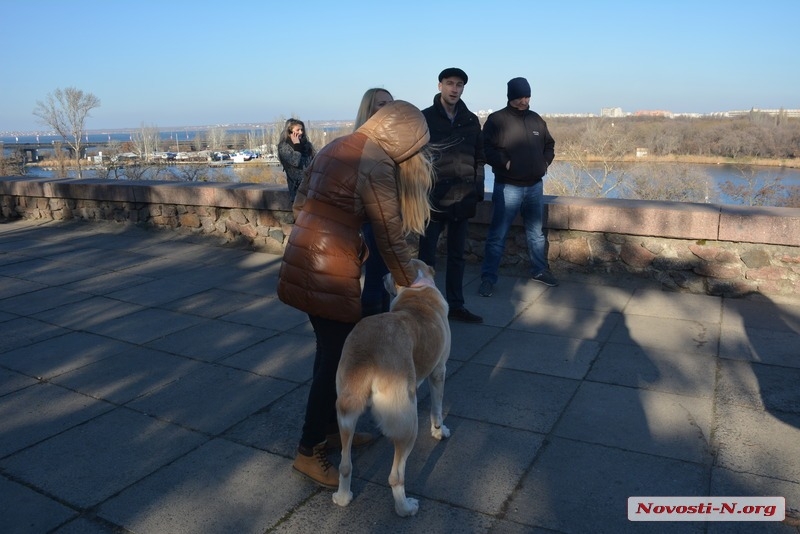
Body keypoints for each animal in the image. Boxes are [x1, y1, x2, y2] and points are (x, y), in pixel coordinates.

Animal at [332, 260, 454, 520]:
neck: (417, 288)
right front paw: (439, 431)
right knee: (395, 476)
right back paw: (406, 508)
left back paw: (343, 497)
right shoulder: (439, 371)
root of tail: (368, 349)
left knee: (345, 465)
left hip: (345, 413)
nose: (383, 276)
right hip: (408, 423)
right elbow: (437, 408)